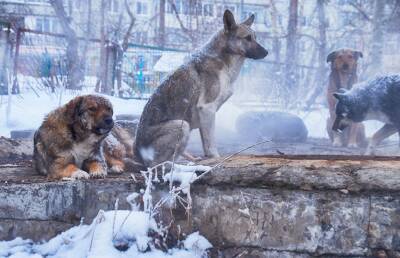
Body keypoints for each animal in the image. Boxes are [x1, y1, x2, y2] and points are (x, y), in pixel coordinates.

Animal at [135, 9, 268, 167]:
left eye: (255, 38)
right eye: (247, 38)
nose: (266, 52)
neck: (223, 59)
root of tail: (137, 153)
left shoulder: (205, 117)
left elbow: (206, 143)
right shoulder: (207, 109)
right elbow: (211, 143)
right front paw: (215, 158)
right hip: (182, 126)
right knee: (156, 164)